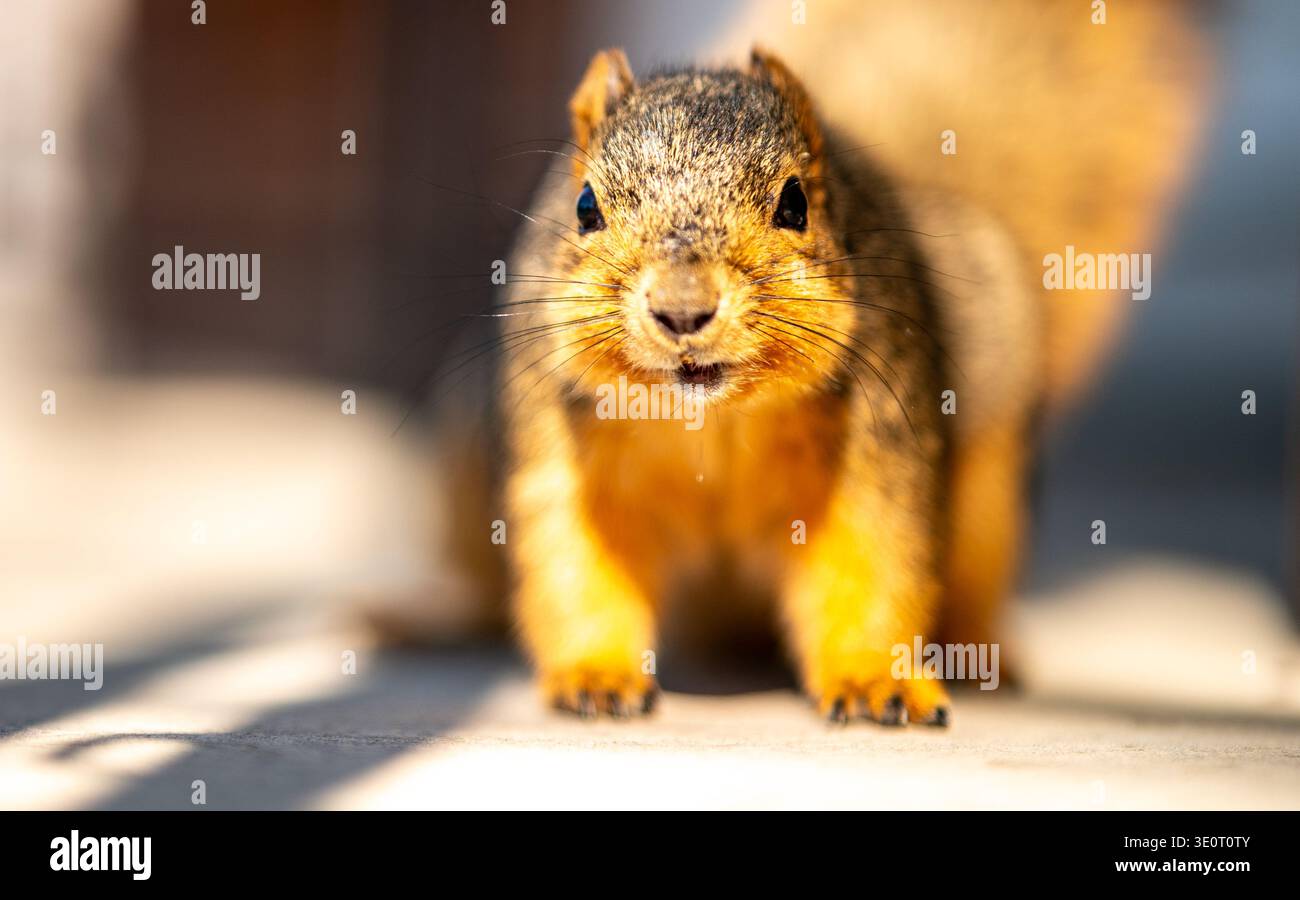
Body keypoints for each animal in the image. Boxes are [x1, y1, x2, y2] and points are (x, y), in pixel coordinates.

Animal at [401, 0, 1209, 725]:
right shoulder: (561, 444)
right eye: (584, 207)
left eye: (795, 204)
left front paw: (876, 681)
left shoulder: (881, 434)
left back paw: (982, 656)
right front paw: (596, 675)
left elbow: (872, 558)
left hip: (992, 485)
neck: (713, 424)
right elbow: (575, 561)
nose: (682, 310)